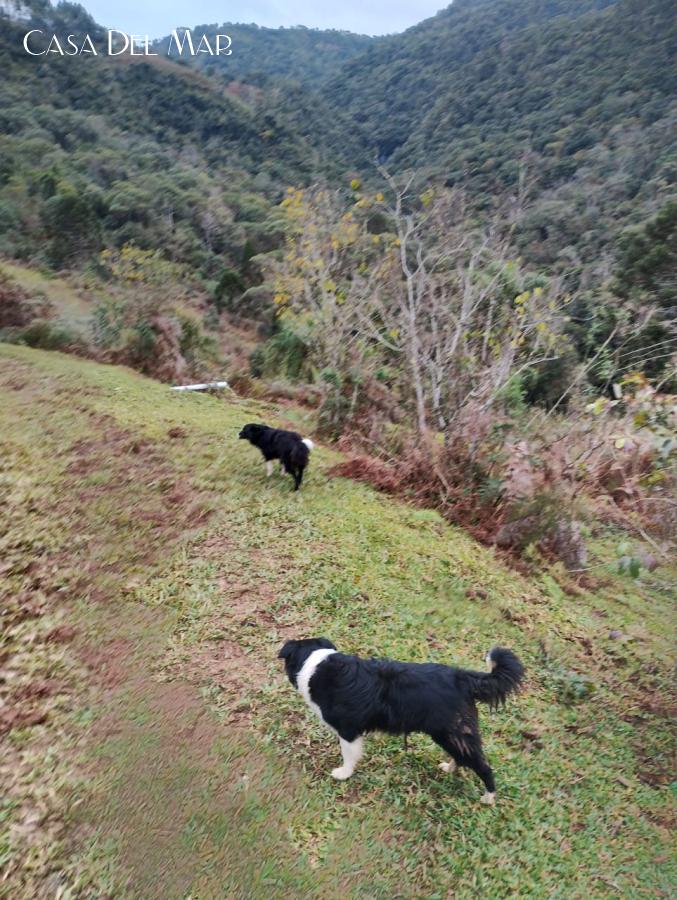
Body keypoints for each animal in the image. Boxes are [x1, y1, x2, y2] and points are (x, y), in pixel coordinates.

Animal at [278, 636, 524, 804]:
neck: (314, 664)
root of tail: (462, 678)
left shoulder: (348, 730)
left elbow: (349, 756)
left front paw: (343, 774)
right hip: (451, 734)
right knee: (464, 756)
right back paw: (449, 768)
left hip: (450, 732)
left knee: (483, 766)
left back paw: (488, 797)